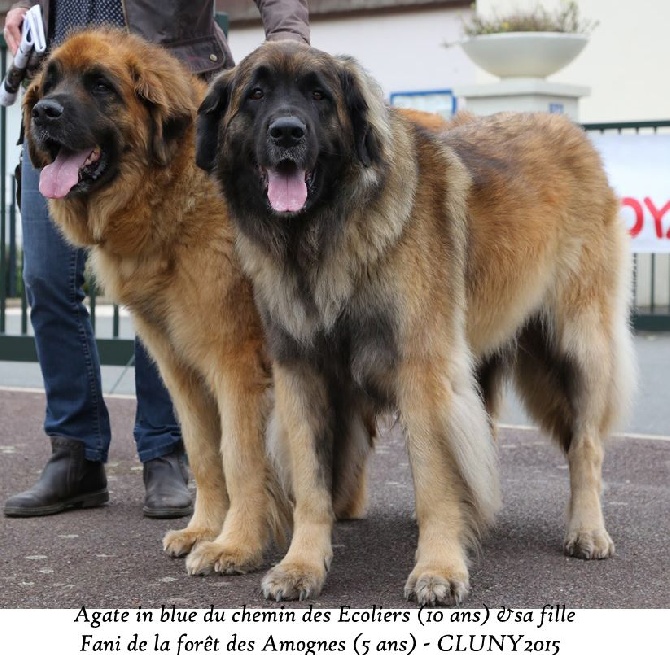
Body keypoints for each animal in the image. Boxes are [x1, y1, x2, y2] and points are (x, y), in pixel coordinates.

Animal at [23, 28, 294, 576]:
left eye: (100, 85)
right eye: (49, 82)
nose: (43, 112)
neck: (170, 192)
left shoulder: (236, 365)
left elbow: (241, 458)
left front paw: (237, 545)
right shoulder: (180, 367)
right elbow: (205, 455)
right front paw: (203, 530)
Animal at [197, 41, 636, 604]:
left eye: (319, 95)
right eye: (255, 94)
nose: (287, 132)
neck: (324, 238)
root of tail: (570, 131)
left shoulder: (423, 372)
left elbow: (434, 480)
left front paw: (438, 568)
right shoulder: (301, 373)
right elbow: (313, 486)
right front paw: (301, 565)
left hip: (575, 346)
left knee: (586, 446)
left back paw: (587, 530)